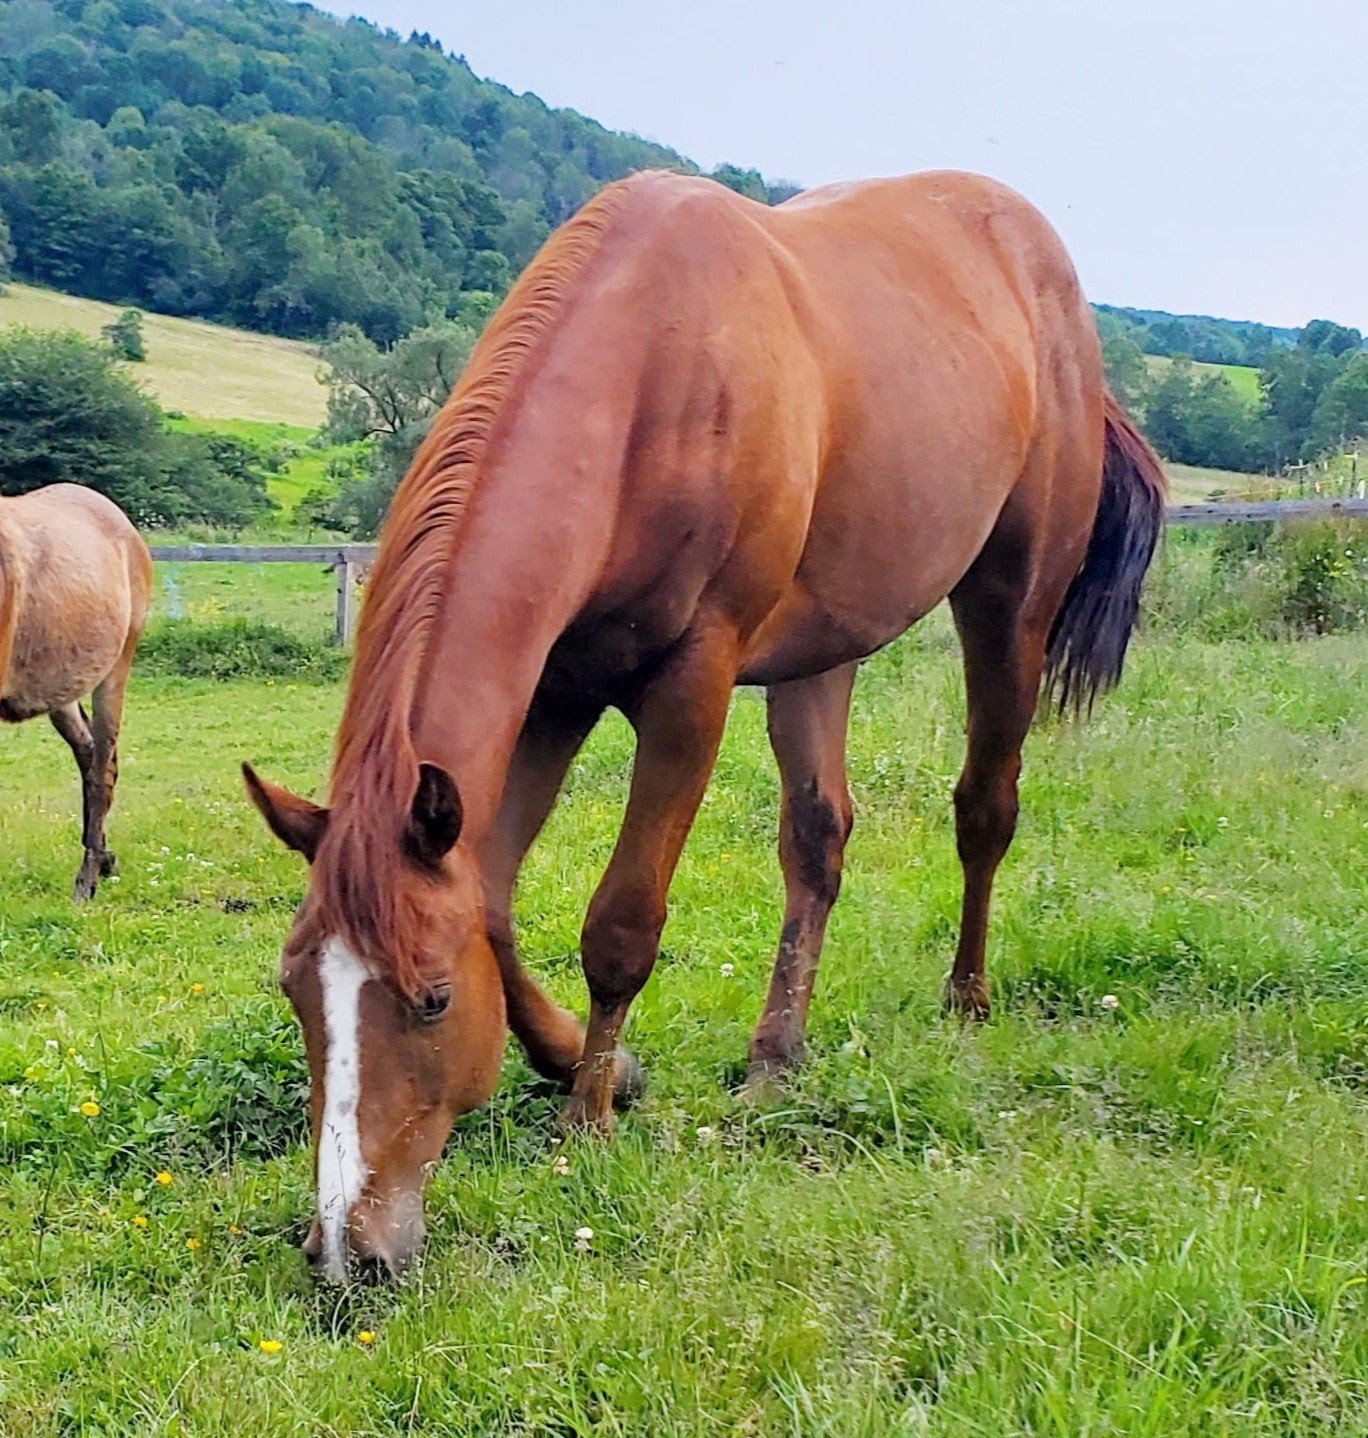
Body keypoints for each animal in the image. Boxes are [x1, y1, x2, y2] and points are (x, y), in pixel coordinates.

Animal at [0, 488, 152, 903]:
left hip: (114, 673)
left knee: (102, 769)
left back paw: (88, 877)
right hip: (63, 688)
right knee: (88, 752)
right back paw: (103, 857)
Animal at [245, 168, 1168, 1282]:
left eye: (429, 1001)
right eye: (297, 989)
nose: (345, 1248)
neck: (648, 383)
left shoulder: (692, 689)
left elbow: (621, 925)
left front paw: (589, 1118)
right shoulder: (557, 689)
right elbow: (496, 905)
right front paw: (592, 1063)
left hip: (1009, 608)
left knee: (984, 808)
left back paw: (966, 999)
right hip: (821, 653)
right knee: (818, 841)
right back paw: (776, 1056)